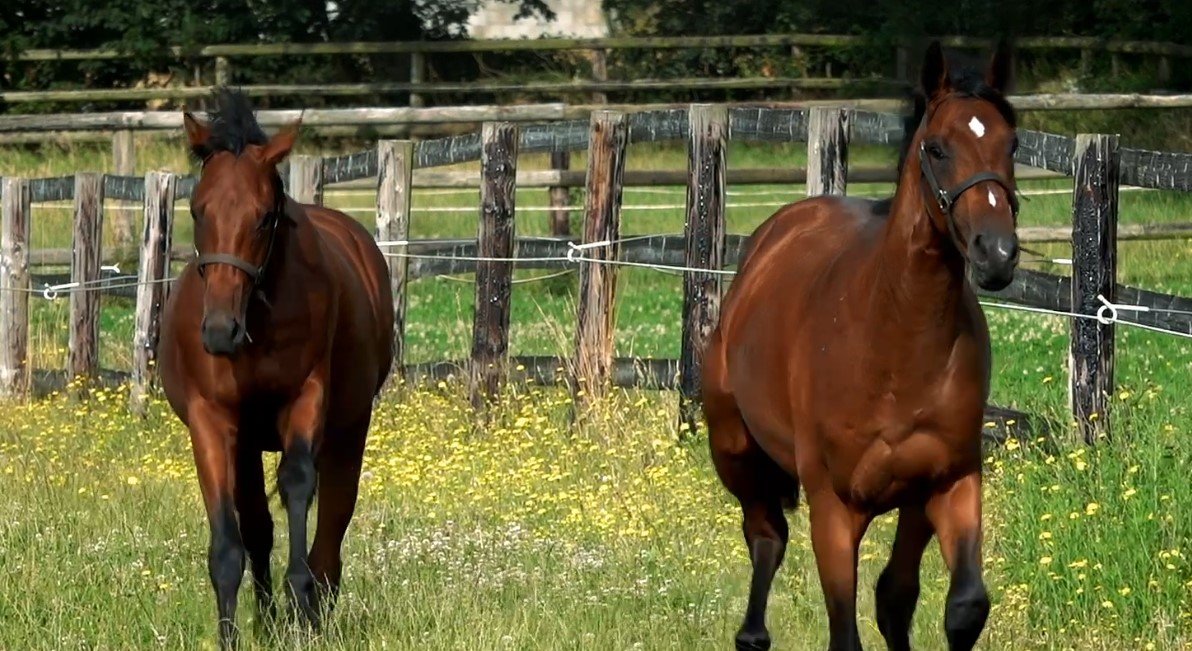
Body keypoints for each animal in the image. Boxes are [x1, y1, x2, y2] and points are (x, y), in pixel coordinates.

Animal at [158, 89, 394, 649]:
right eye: (196, 210)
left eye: (265, 216)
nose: (219, 330)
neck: (257, 321)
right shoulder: (212, 421)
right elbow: (231, 541)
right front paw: (234, 634)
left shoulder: (307, 399)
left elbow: (297, 484)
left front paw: (302, 602)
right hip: (247, 440)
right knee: (258, 526)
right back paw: (267, 620)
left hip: (350, 426)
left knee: (333, 519)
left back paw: (316, 605)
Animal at [703, 41, 1019, 651]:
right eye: (937, 148)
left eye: (1011, 143)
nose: (996, 253)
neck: (893, 343)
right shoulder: (834, 506)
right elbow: (845, 631)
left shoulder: (946, 482)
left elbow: (952, 606)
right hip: (735, 453)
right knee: (765, 536)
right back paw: (752, 633)